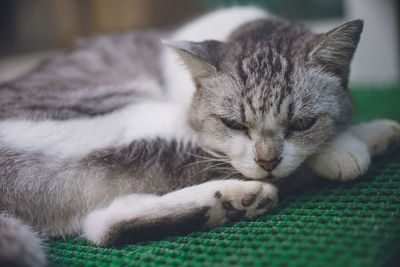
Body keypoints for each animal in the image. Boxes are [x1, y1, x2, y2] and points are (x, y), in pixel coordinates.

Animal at [0, 6, 400, 267]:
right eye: (234, 125)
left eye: (301, 124)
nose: (267, 162)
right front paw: (347, 147)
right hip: (138, 118)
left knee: (102, 227)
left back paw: (228, 204)